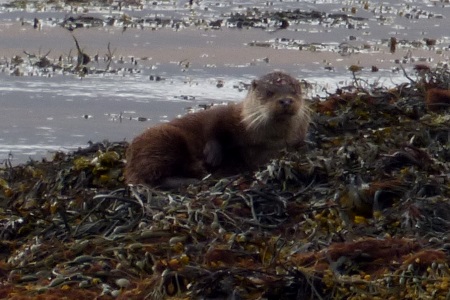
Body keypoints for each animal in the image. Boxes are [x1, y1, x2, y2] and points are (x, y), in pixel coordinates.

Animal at [125, 71, 312, 188]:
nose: (286, 100)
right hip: (164, 138)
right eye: (269, 92)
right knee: (147, 177)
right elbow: (212, 125)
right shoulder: (227, 115)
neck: (266, 140)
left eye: (295, 91)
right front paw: (213, 156)